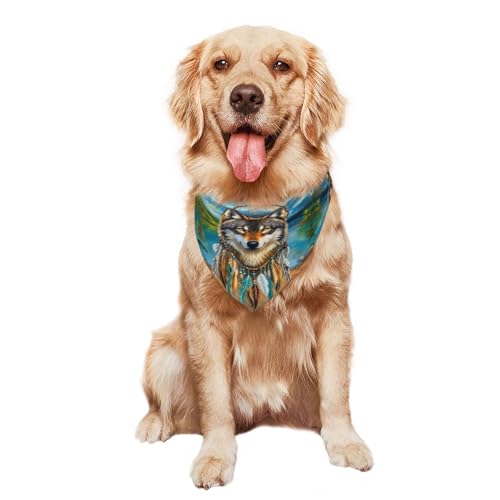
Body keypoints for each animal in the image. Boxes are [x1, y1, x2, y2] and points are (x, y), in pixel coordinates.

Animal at [136, 25, 373, 488]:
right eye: (220, 64)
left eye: (281, 65)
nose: (245, 96)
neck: (257, 202)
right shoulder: (204, 319)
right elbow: (215, 402)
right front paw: (215, 457)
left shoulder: (333, 310)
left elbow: (336, 391)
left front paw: (345, 442)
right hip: (163, 350)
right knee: (167, 405)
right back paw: (154, 424)